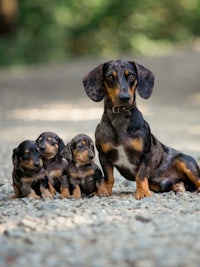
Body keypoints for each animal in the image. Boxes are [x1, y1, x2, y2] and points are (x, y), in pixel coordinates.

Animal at [82, 60, 200, 199]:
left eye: (131, 76)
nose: (125, 97)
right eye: (110, 76)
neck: (120, 119)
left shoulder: (146, 155)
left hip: (184, 162)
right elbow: (109, 177)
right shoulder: (104, 156)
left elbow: (141, 175)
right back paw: (179, 187)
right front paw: (104, 190)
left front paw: (142, 192)